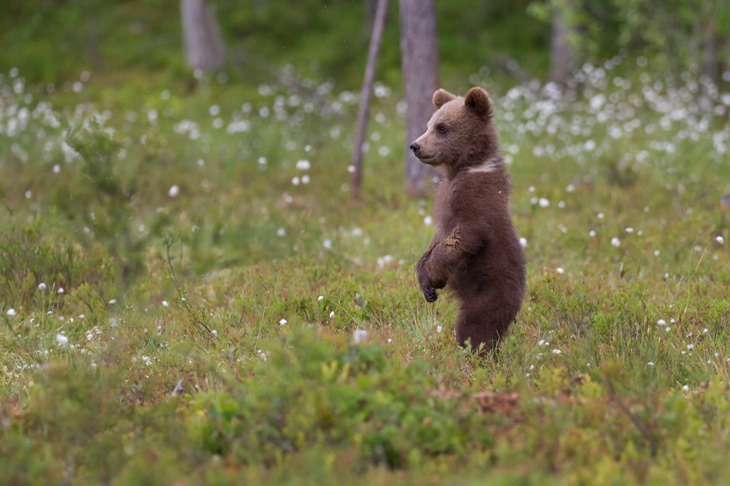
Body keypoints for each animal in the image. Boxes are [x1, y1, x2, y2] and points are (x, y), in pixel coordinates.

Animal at [410, 86, 524, 354]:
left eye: (442, 127)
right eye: (429, 124)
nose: (415, 145)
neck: (466, 167)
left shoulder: (476, 202)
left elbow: (464, 237)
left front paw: (435, 276)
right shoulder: (445, 201)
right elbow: (436, 241)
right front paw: (425, 283)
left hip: (490, 292)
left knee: (475, 326)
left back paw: (473, 353)